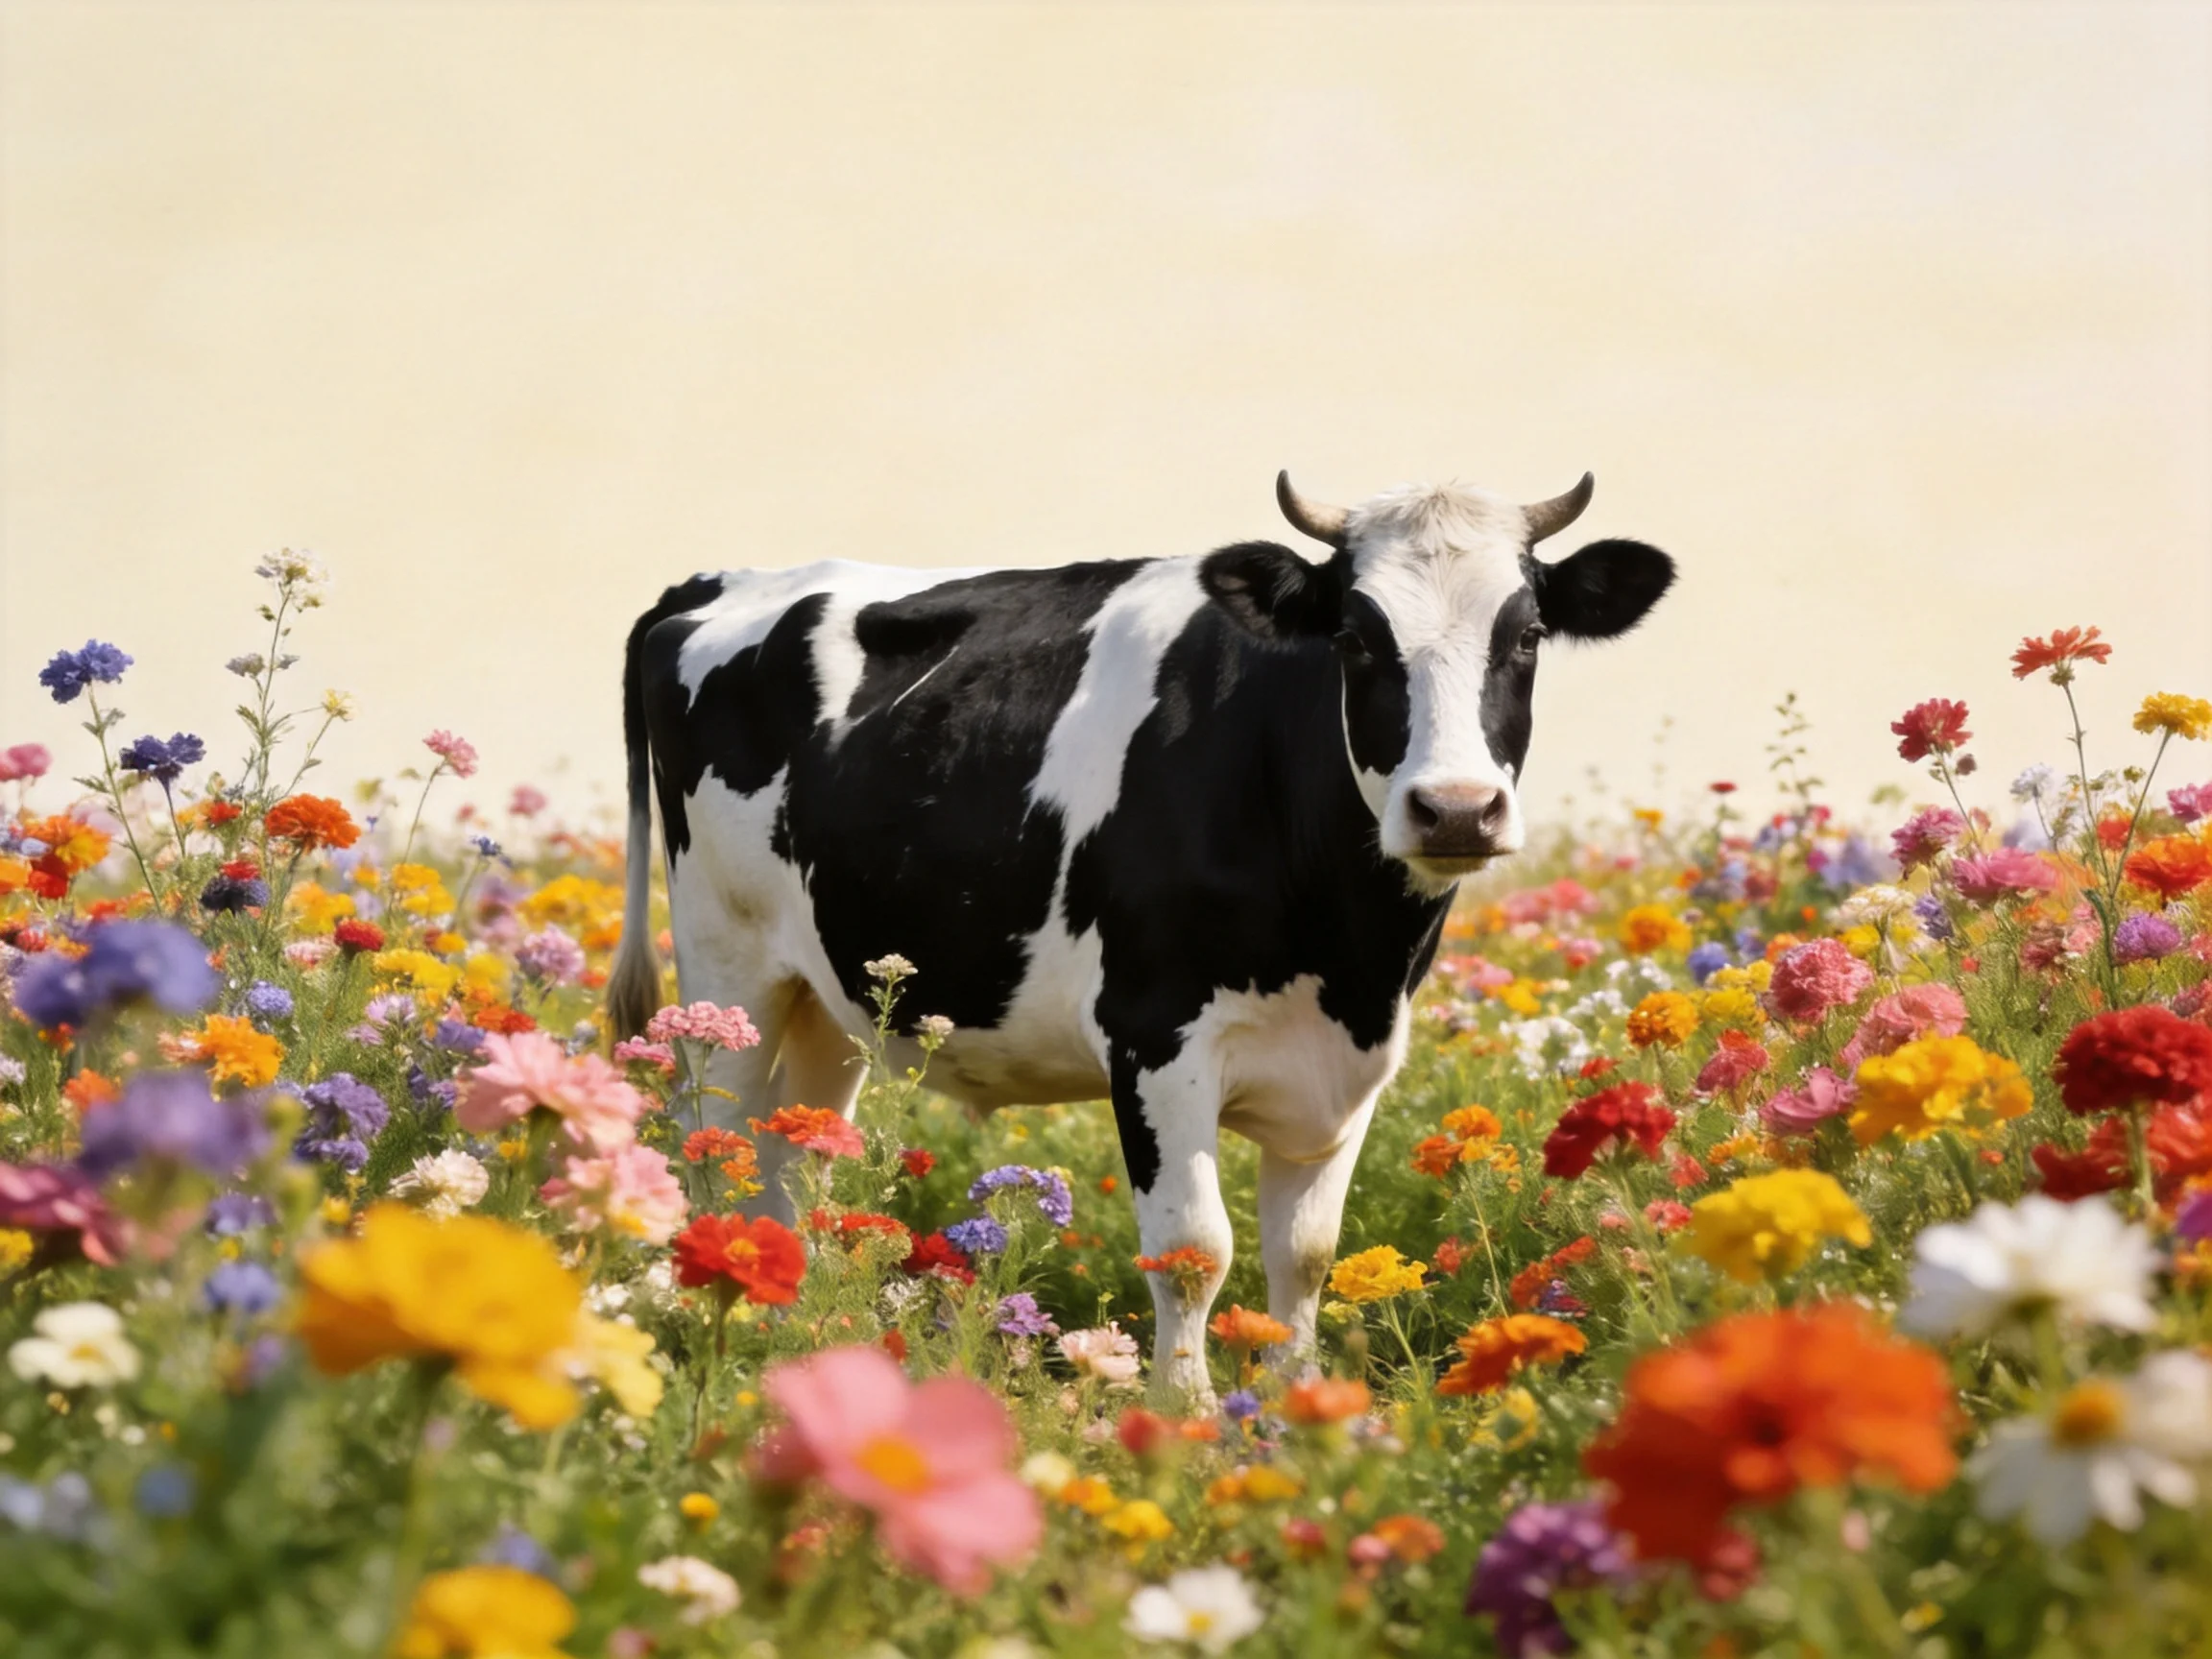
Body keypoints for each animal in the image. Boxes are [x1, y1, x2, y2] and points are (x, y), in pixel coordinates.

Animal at [607, 471, 1673, 1398]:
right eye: (1354, 636)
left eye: (1526, 634)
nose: (1454, 809)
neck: (1346, 951)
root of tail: (721, 581)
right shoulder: (1156, 1034)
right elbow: (1195, 1247)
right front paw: (1186, 1419)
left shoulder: (1352, 1061)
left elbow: (1306, 1253)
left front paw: (1291, 1410)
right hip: (726, 970)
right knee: (714, 1150)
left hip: (831, 992)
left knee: (793, 1165)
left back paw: (794, 1345)